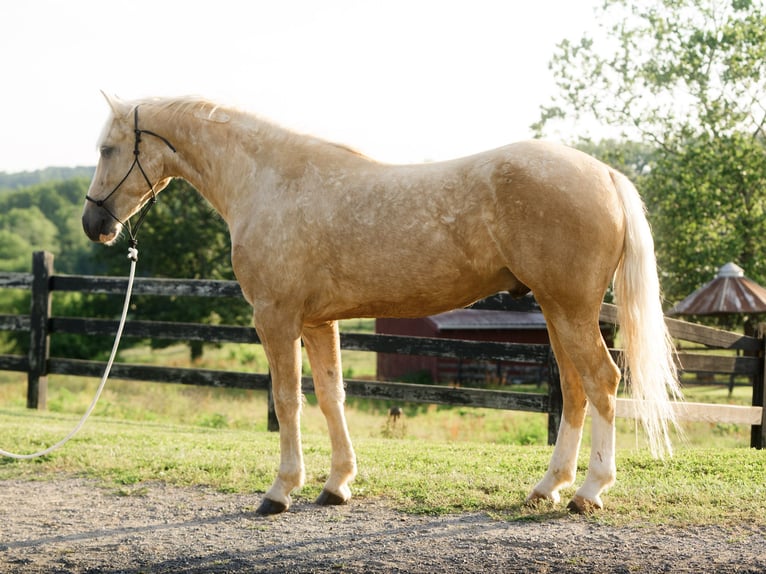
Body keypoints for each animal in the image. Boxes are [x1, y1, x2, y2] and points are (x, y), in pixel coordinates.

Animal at [82, 94, 681, 515]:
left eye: (108, 149)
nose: (94, 224)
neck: (268, 180)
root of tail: (604, 173)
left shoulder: (276, 317)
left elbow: (287, 401)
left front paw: (280, 491)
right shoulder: (318, 321)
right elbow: (331, 398)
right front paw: (336, 485)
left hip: (570, 309)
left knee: (602, 381)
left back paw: (590, 492)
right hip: (558, 313)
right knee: (576, 391)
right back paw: (547, 487)